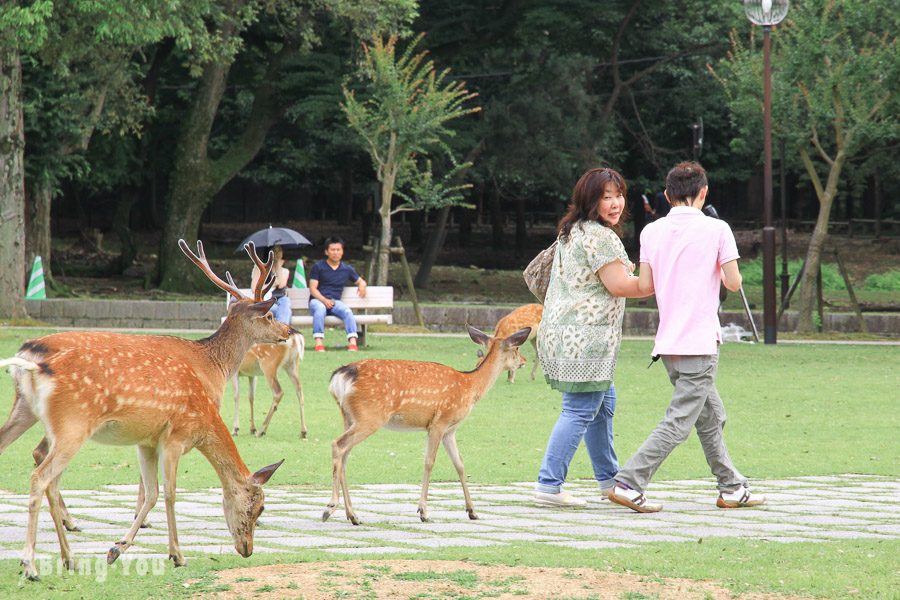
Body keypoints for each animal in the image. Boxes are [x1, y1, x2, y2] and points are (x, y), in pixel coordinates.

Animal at [0, 240, 290, 580]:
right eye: (269, 315)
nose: (288, 330)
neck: (214, 365)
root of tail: (29, 354)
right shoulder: (173, 436)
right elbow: (166, 491)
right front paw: (172, 551)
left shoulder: (148, 439)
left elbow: (151, 489)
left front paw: (124, 542)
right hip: (71, 426)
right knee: (41, 471)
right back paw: (34, 562)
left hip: (25, 410)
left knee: (28, 454)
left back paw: (67, 552)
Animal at [322, 324, 532, 524]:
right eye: (517, 348)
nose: (524, 361)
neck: (471, 386)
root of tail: (340, 377)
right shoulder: (440, 421)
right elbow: (429, 461)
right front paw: (423, 512)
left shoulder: (450, 430)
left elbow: (460, 464)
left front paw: (472, 511)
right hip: (370, 416)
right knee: (337, 445)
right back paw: (330, 507)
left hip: (349, 417)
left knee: (344, 456)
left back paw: (353, 515)